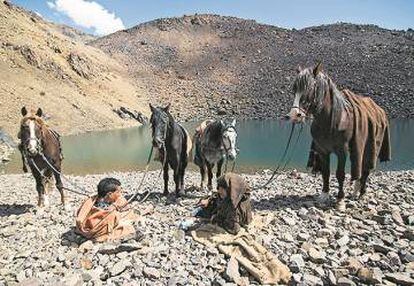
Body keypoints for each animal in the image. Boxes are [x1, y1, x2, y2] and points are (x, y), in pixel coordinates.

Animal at [286, 64, 390, 210]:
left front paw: (340, 200)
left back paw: (362, 194)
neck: (333, 119)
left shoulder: (342, 152)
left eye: (310, 88)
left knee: (366, 171)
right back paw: (355, 192)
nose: (294, 115)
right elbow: (326, 172)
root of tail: (379, 110)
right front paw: (324, 196)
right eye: (294, 90)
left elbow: (340, 174)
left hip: (371, 148)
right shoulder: (323, 151)